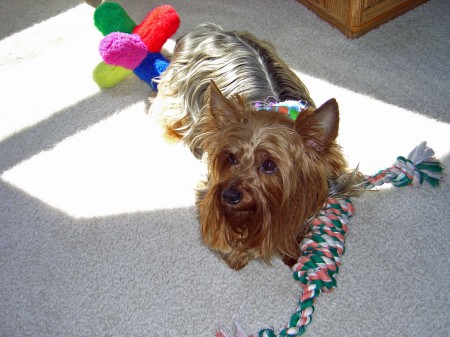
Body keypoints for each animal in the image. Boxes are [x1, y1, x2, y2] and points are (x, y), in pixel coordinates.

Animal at [149, 23, 360, 270]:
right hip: (178, 96)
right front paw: (237, 254)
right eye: (231, 158)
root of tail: (204, 29)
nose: (229, 195)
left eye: (269, 165)